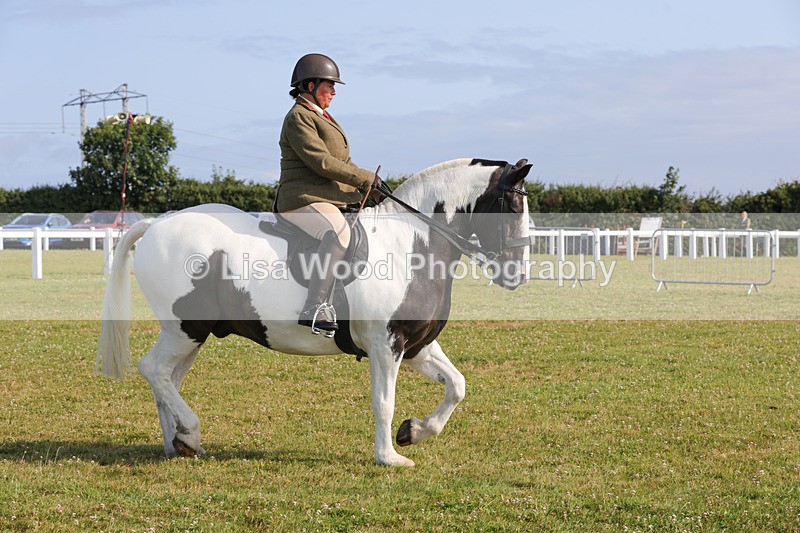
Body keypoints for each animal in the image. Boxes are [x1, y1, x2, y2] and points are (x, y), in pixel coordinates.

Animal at [97, 157, 531, 467]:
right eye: (512, 206)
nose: (519, 276)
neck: (412, 244)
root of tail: (158, 225)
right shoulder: (385, 345)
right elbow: (383, 402)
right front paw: (389, 457)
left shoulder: (415, 346)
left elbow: (456, 385)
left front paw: (414, 431)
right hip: (183, 328)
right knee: (154, 370)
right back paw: (188, 431)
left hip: (194, 334)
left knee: (168, 378)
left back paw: (180, 443)